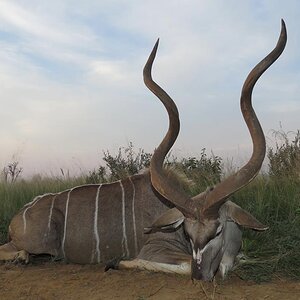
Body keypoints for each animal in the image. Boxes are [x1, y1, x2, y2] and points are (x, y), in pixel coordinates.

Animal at [0, 21, 286, 282]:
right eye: (187, 233)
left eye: (216, 232)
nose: (201, 276)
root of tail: (18, 217)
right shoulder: (156, 250)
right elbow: (178, 265)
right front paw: (116, 262)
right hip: (38, 243)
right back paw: (22, 258)